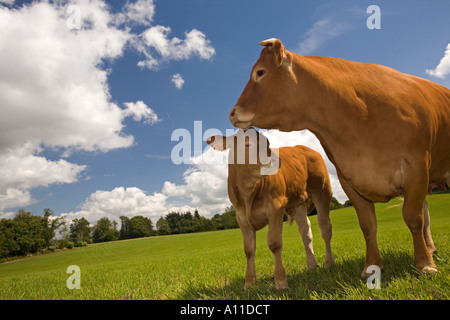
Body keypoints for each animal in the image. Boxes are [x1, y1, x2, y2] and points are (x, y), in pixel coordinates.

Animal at [207, 128, 334, 290]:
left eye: (267, 143)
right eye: (247, 144)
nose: (276, 160)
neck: (249, 192)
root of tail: (305, 148)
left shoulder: (276, 208)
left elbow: (274, 243)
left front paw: (280, 281)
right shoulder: (241, 217)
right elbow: (248, 249)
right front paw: (249, 282)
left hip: (322, 191)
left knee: (325, 228)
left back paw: (329, 263)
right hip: (298, 203)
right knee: (306, 233)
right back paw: (311, 265)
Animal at [230, 38, 448, 278]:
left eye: (260, 72)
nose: (232, 112)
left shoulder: (416, 165)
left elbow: (413, 217)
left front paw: (424, 264)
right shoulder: (348, 178)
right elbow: (367, 225)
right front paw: (371, 267)